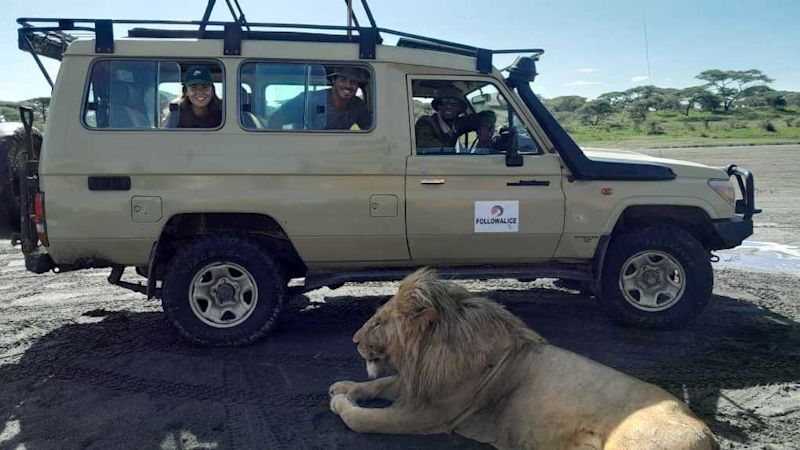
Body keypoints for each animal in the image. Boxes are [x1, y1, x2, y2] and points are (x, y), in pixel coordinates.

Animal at [328, 268, 716, 448]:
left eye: (379, 322)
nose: (354, 339)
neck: (428, 353)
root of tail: (708, 434)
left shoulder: (429, 413)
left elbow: (362, 420)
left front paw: (341, 402)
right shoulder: (417, 385)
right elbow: (380, 382)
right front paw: (342, 386)